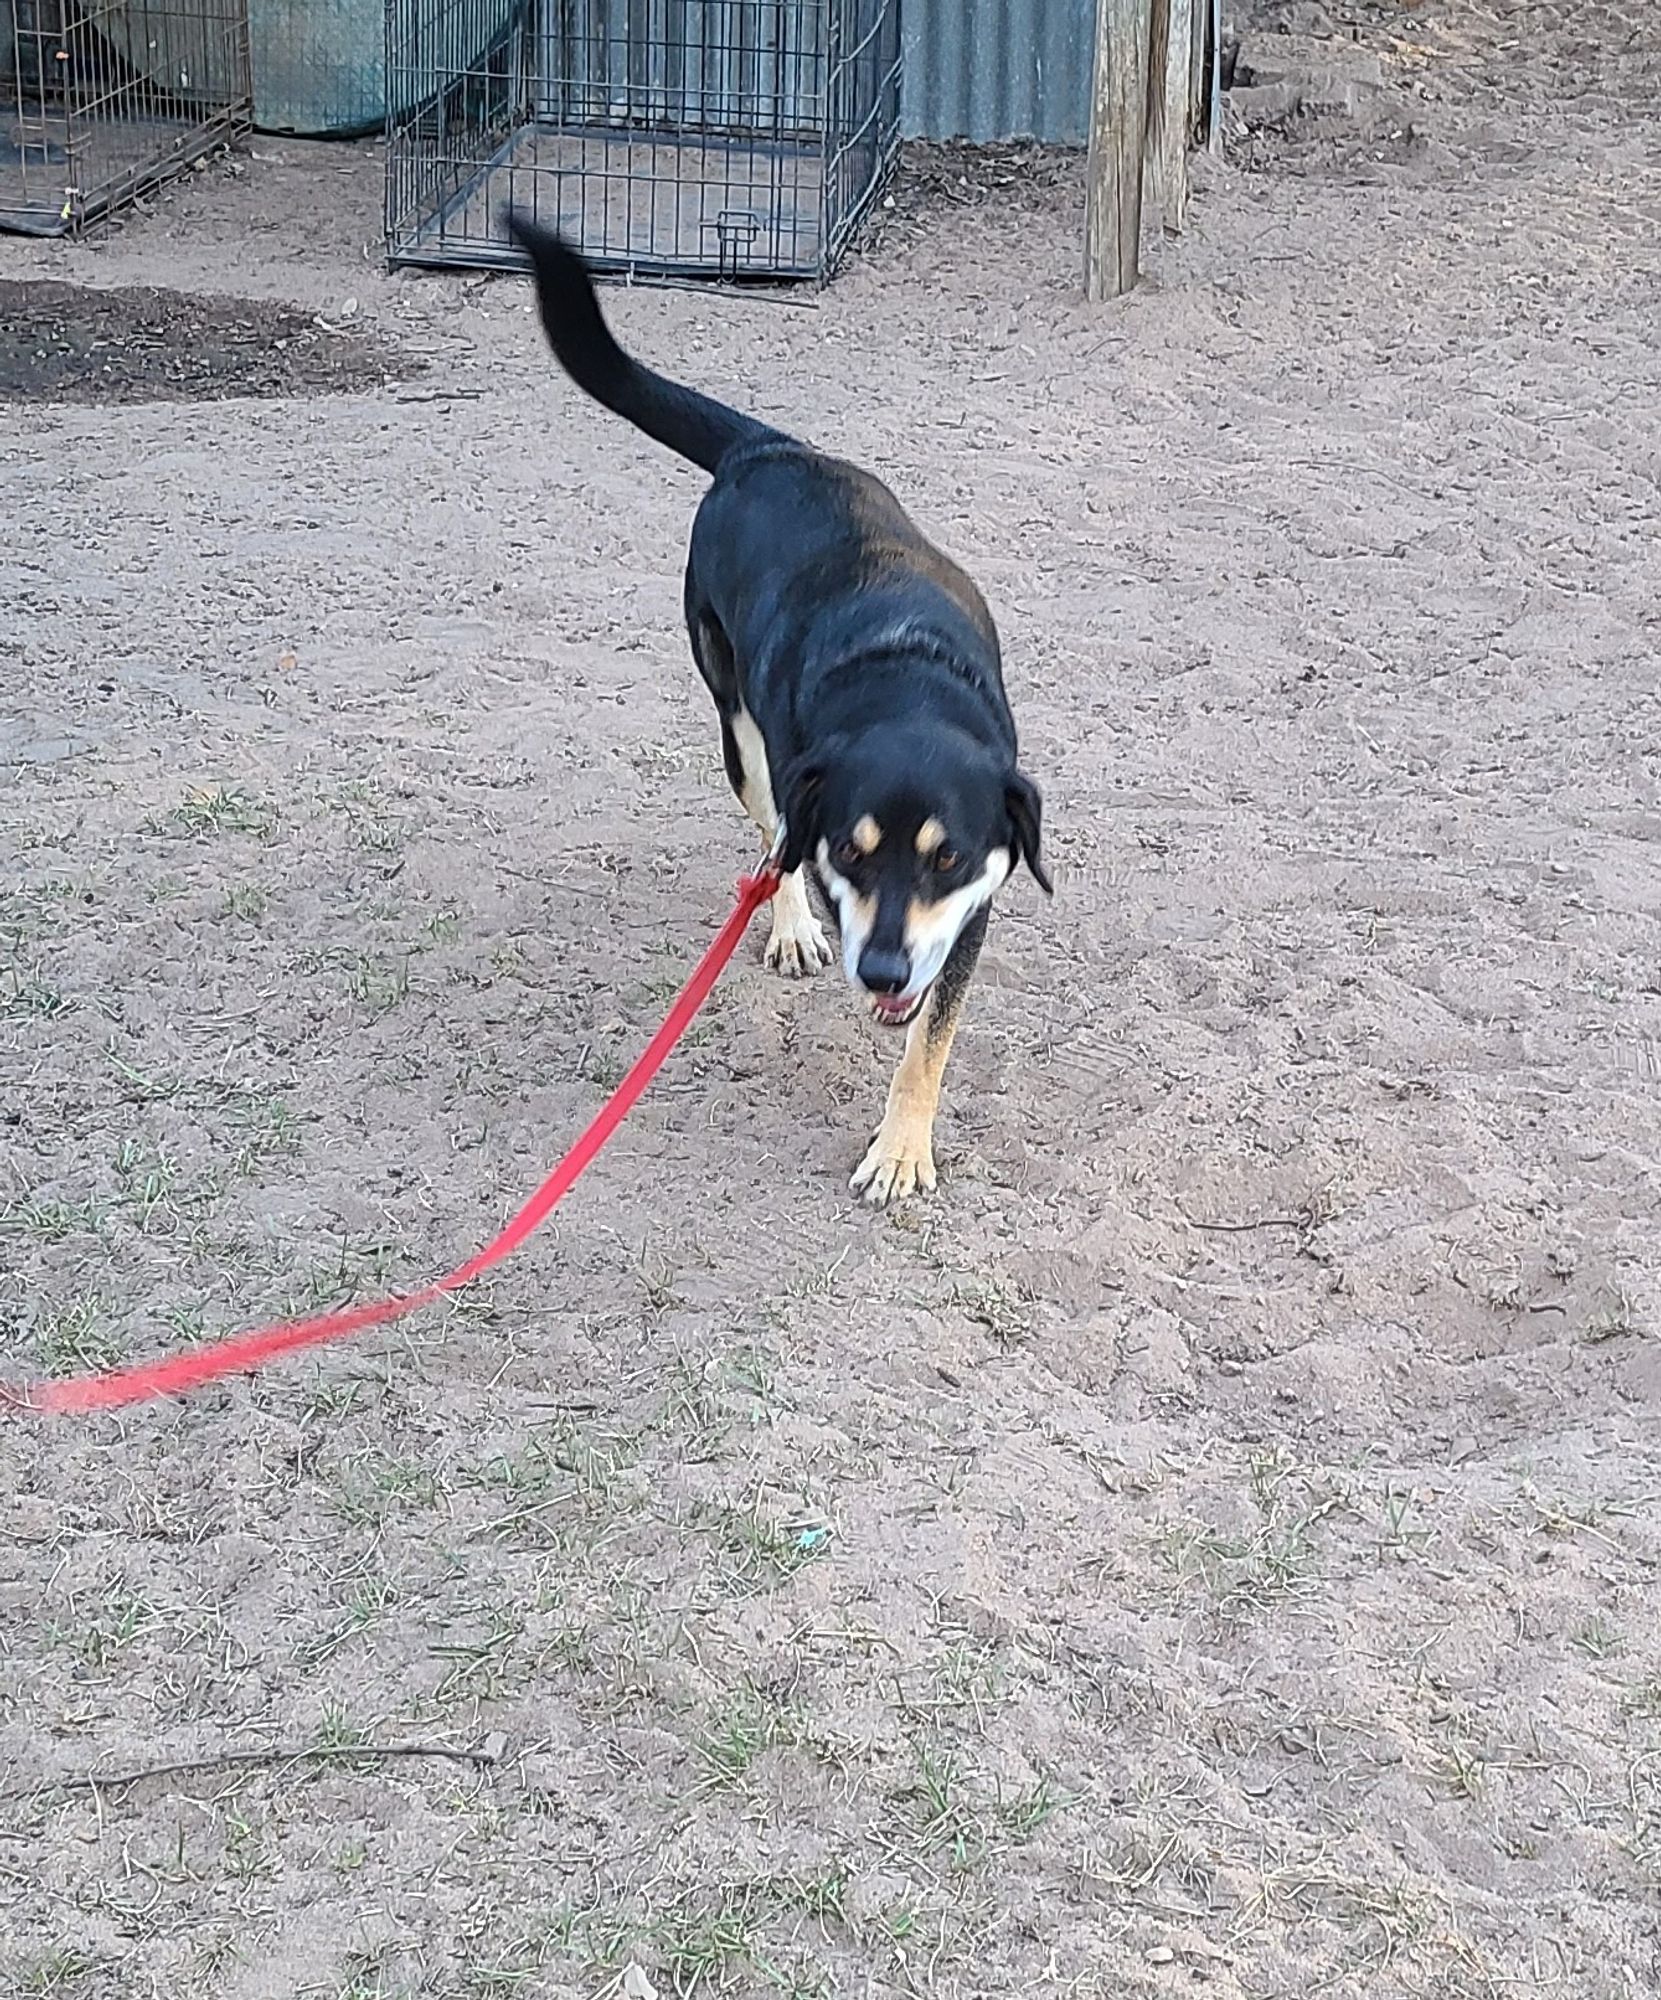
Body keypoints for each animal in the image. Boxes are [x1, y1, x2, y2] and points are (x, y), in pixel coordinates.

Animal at [510, 219, 1056, 1200]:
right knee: (771, 835)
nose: (880, 967)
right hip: (740, 727)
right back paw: (793, 924)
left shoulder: (971, 908)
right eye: (853, 851)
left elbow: (929, 1040)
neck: (903, 680)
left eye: (948, 857)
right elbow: (804, 865)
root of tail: (760, 450)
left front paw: (901, 1147)